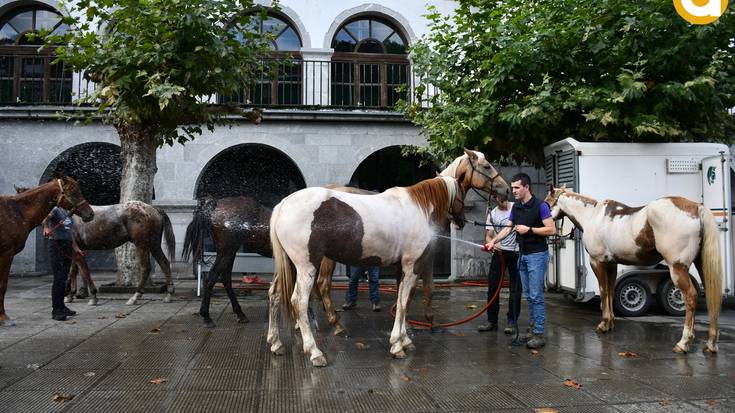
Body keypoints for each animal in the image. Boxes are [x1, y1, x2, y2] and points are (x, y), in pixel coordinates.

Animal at [0, 177, 95, 326]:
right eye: (74, 192)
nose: (90, 213)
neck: (16, 212)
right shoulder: (6, 254)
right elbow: (2, 285)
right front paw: (3, 318)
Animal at [548, 185, 724, 352]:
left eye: (546, 202)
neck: (593, 216)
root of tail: (695, 207)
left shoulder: (597, 262)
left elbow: (603, 291)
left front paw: (603, 324)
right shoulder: (611, 264)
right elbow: (610, 291)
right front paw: (610, 323)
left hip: (677, 268)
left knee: (691, 297)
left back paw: (683, 342)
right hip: (701, 265)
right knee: (711, 296)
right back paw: (711, 344)